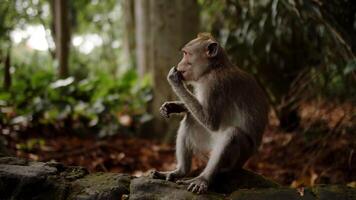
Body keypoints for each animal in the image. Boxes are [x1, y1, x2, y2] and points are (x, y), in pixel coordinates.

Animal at [150, 32, 268, 194]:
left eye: (186, 54)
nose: (179, 65)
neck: (213, 68)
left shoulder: (214, 85)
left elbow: (210, 121)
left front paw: (174, 80)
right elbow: (196, 113)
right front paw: (172, 106)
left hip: (240, 157)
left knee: (232, 134)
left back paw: (203, 179)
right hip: (206, 146)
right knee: (190, 121)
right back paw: (180, 172)